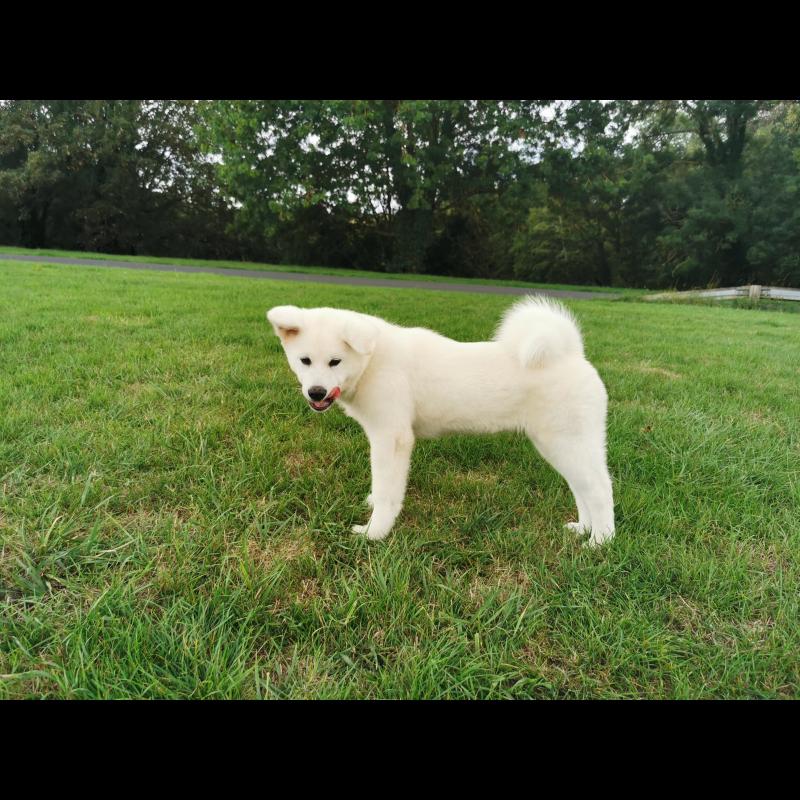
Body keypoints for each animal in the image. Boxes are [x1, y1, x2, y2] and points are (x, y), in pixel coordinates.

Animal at [267, 297, 615, 546]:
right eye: (305, 360)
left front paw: (374, 533)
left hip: (566, 443)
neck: (372, 361)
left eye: (335, 362)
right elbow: (379, 486)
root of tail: (572, 354)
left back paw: (600, 542)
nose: (316, 392)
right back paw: (582, 529)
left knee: (600, 488)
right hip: (561, 446)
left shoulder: (392, 438)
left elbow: (387, 492)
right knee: (582, 488)